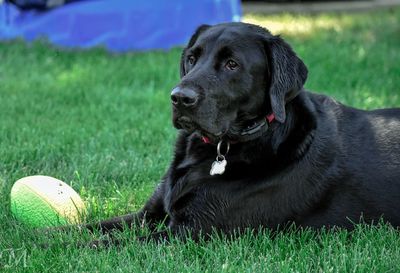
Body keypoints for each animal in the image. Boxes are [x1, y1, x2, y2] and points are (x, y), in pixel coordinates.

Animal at [88, 22, 400, 240]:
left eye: (232, 64)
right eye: (192, 58)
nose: (179, 98)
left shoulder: (192, 231)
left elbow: (104, 244)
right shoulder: (148, 214)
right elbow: (90, 227)